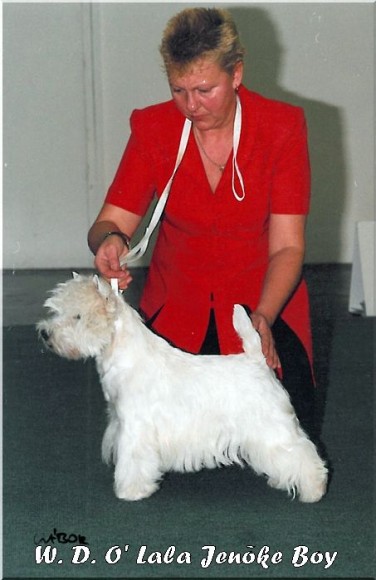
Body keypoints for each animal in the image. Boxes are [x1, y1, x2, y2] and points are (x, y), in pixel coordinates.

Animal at [36, 274, 328, 500]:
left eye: (78, 316)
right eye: (57, 311)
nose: (45, 334)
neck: (122, 354)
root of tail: (257, 361)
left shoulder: (135, 429)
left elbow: (133, 460)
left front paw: (130, 491)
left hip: (270, 427)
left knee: (301, 453)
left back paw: (314, 490)